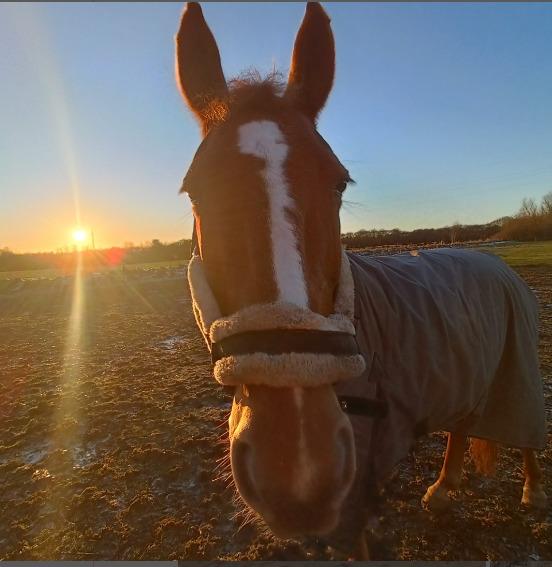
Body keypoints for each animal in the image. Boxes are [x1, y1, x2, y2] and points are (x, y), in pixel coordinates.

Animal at [174, 1, 548, 560]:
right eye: (194, 192)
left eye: (339, 183)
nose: (299, 471)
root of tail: (497, 263)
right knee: (462, 429)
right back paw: (443, 491)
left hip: (517, 367)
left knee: (526, 430)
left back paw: (533, 490)